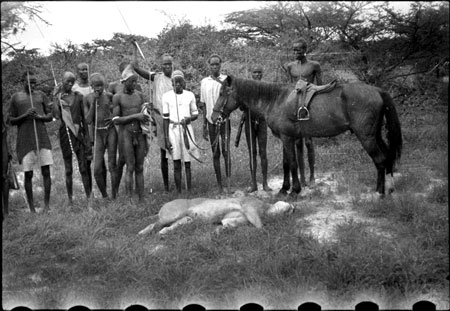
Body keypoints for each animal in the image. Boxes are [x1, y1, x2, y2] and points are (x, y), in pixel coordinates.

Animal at [212, 76, 404, 199]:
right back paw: (387, 188)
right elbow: (286, 164)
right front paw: (284, 189)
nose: (214, 117)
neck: (276, 99)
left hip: (366, 137)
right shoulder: (286, 138)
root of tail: (377, 91)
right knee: (386, 158)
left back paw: (379, 192)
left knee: (380, 160)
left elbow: (293, 164)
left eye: (222, 93)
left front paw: (294, 191)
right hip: (375, 135)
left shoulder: (287, 138)